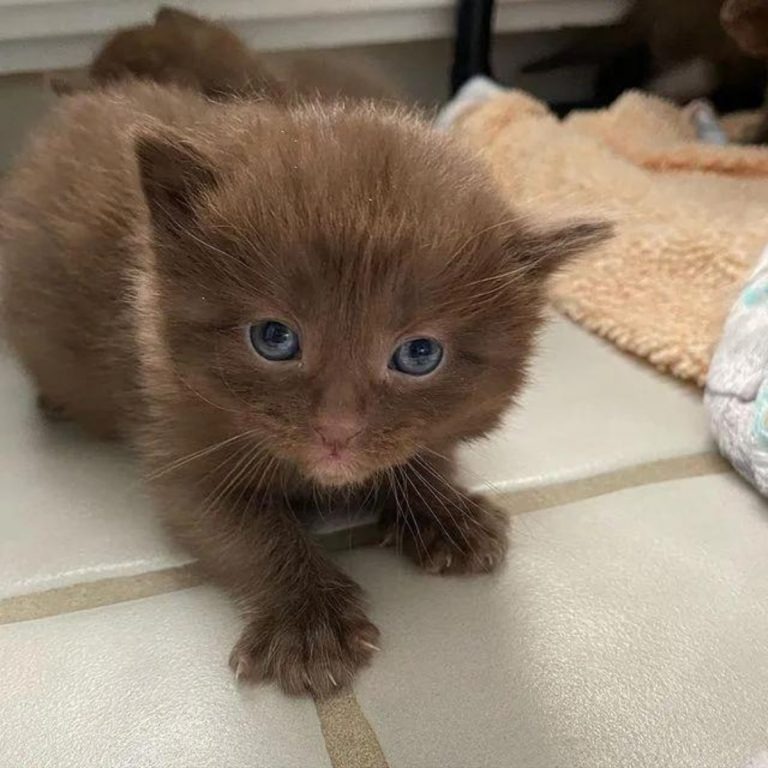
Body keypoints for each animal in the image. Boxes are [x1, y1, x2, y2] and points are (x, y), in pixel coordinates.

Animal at [0, 82, 612, 696]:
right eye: (274, 338)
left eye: (419, 354)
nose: (336, 431)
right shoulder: (177, 440)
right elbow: (248, 531)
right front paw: (309, 624)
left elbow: (423, 454)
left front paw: (446, 512)